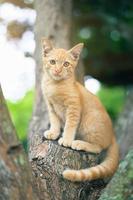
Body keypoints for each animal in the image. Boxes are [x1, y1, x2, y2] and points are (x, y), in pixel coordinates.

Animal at [41, 38, 119, 182]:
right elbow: (54, 120)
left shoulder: (74, 107)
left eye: (66, 64)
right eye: (52, 62)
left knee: (98, 148)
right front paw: (54, 132)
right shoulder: (51, 106)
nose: (58, 70)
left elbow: (70, 125)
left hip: (91, 121)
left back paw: (79, 143)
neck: (54, 85)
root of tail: (112, 135)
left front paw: (66, 139)